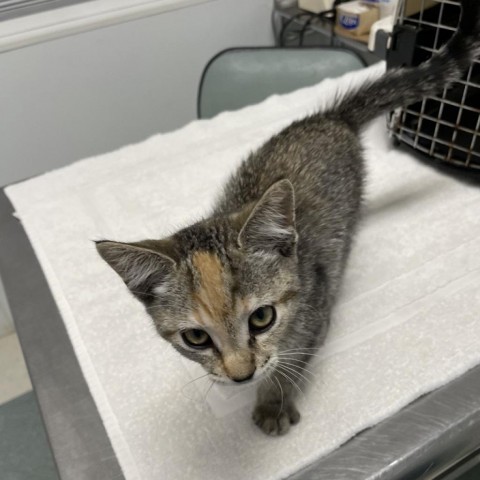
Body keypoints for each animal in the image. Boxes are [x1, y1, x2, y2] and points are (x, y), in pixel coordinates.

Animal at [95, 0, 478, 436]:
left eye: (262, 318)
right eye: (195, 338)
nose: (241, 375)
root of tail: (331, 117)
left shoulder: (316, 312)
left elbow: (291, 363)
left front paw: (273, 402)